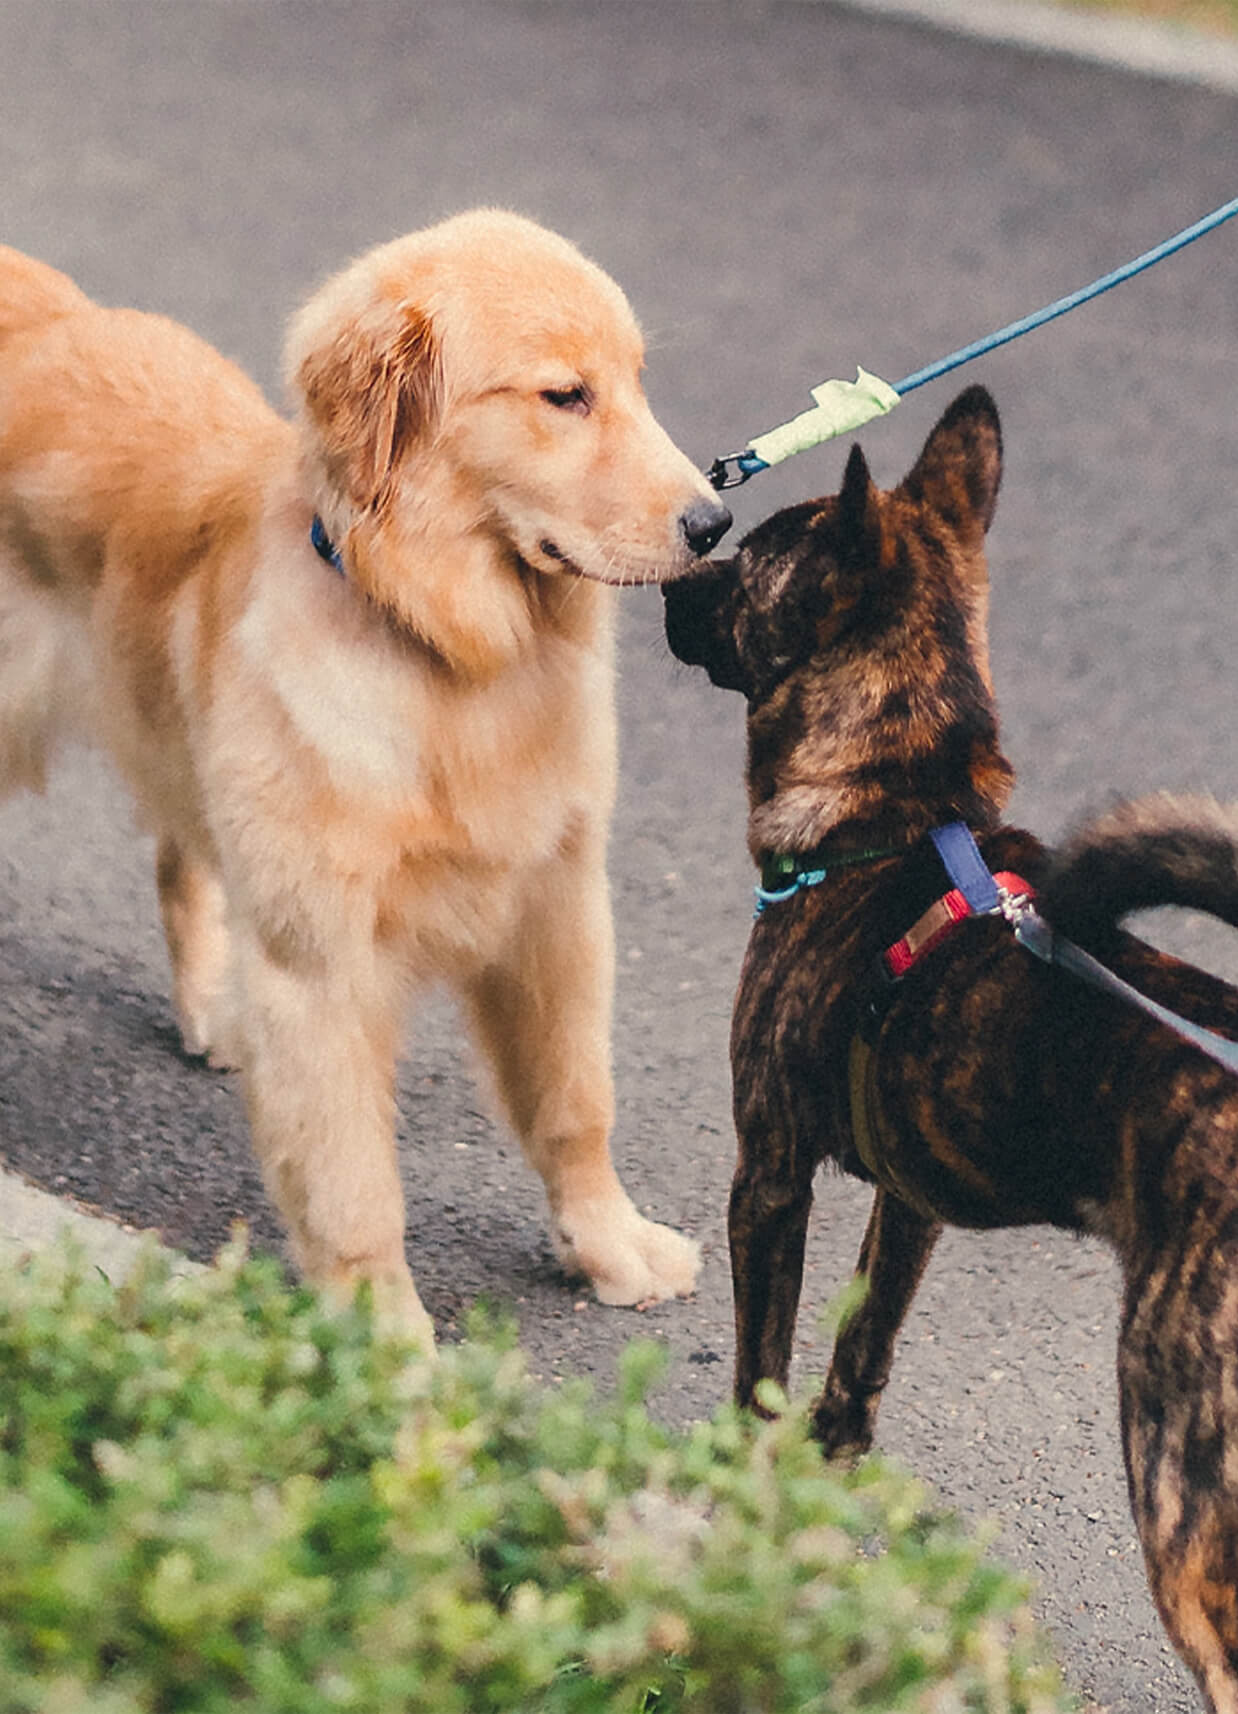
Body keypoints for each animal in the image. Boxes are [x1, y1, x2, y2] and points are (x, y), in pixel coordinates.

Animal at [668, 389, 1238, 1714]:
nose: (672, 574)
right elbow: (857, 1356)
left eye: (745, 566)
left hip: (1178, 1477)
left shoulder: (766, 1179)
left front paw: (744, 1520)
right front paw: (822, 1488)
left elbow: (760, 1371)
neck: (890, 816)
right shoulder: (911, 1199)